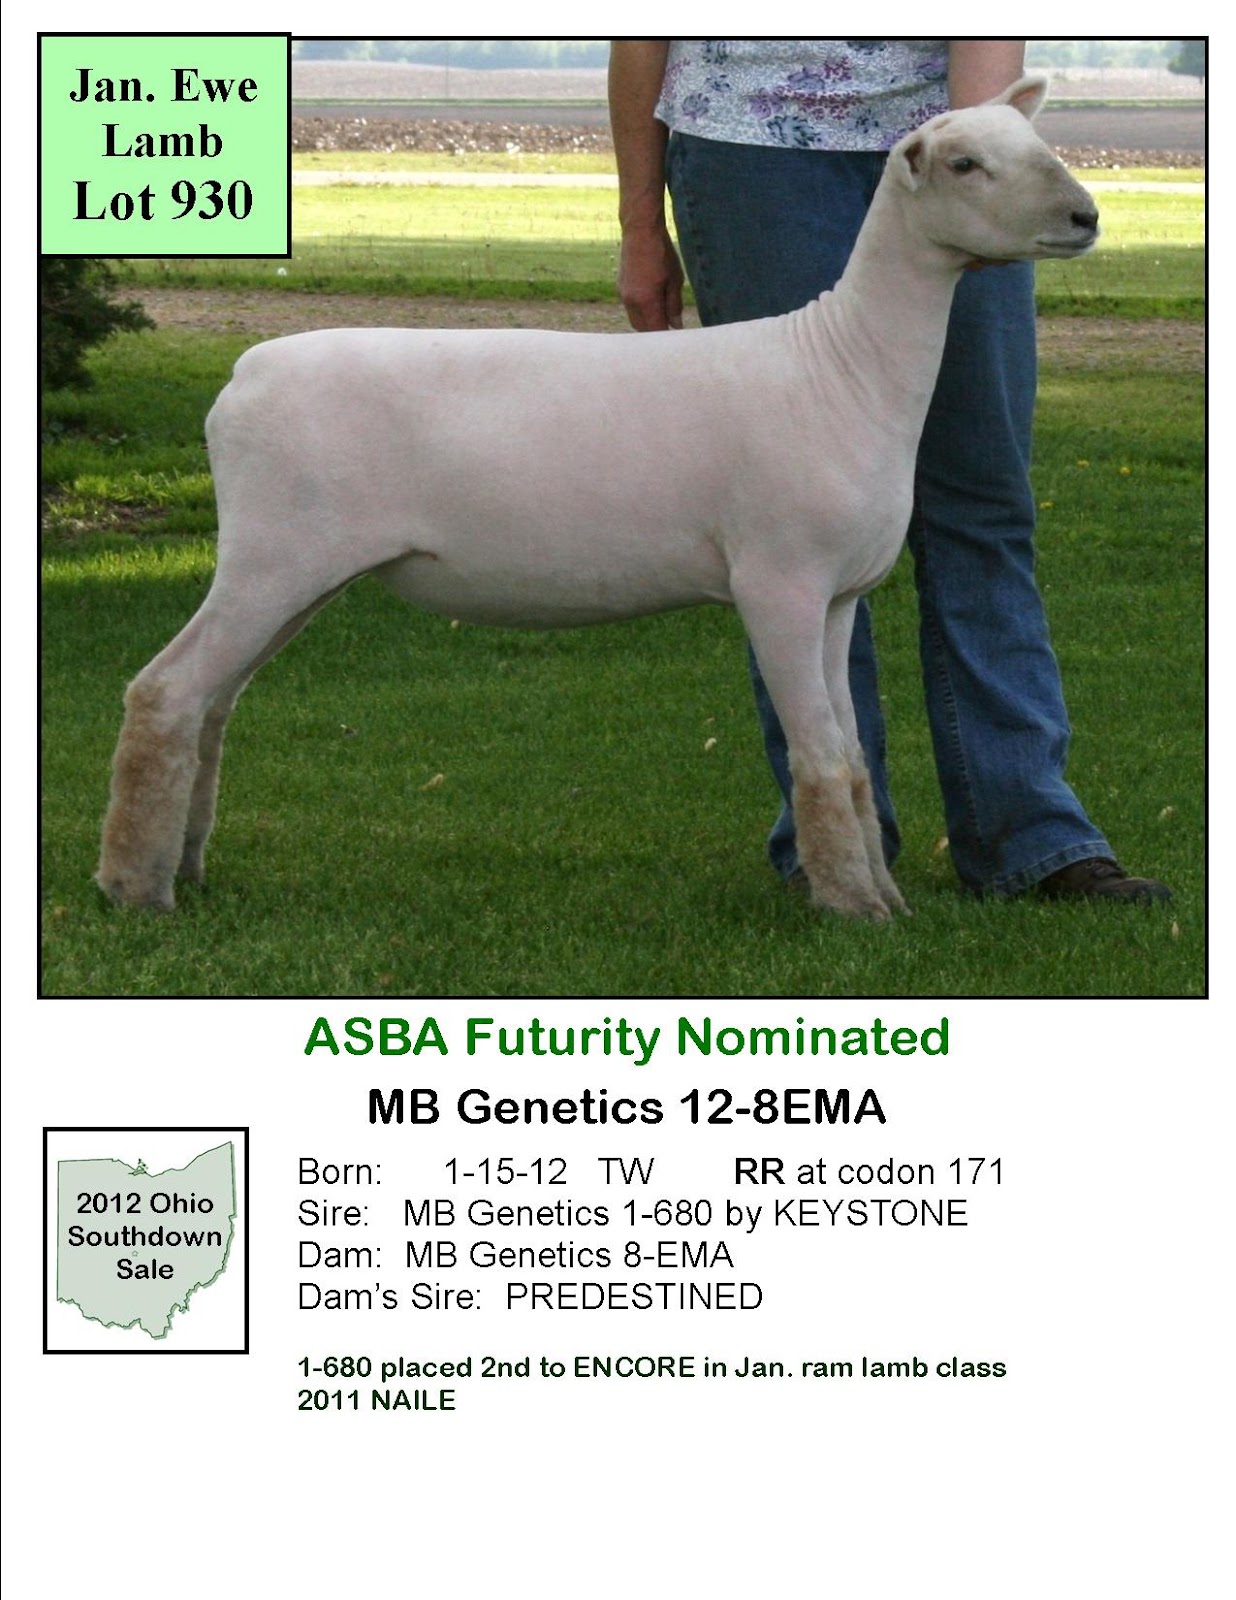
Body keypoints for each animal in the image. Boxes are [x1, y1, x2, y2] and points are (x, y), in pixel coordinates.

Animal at [97, 75, 1098, 920]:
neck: (846, 365)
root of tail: (244, 373)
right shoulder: (779, 581)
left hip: (295, 571)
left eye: (1036, 143)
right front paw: (856, 912)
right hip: (274, 554)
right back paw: (133, 889)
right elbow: (816, 758)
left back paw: (184, 865)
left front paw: (880, 896)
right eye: (965, 164)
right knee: (165, 692)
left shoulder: (840, 597)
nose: (1086, 216)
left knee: (212, 704)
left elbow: (850, 759)